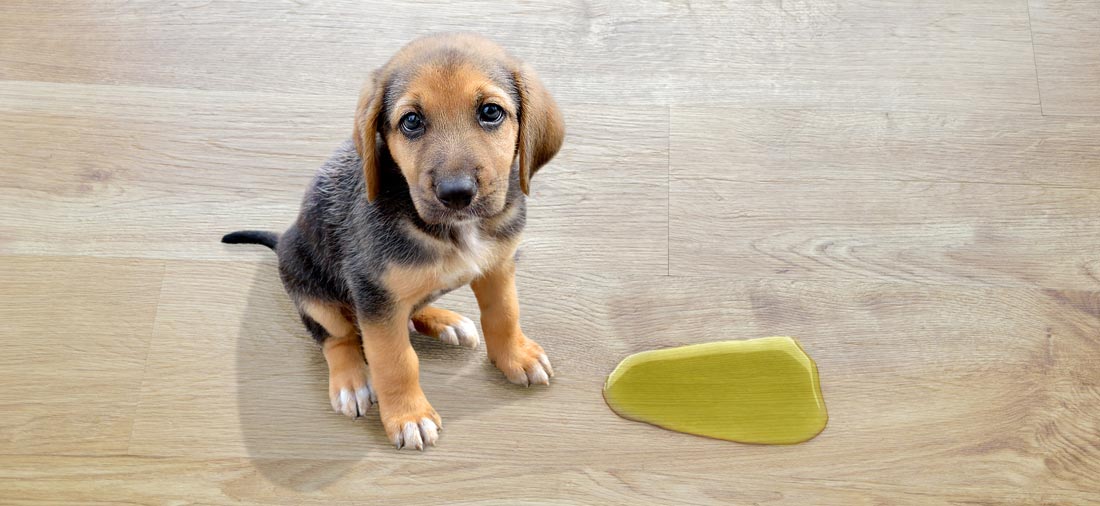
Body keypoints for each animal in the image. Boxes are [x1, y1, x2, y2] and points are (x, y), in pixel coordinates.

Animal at [223, 33, 567, 448]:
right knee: (337, 337)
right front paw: (408, 416)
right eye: (412, 121)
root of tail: (282, 238)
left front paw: (515, 356)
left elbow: (504, 314)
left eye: (490, 112)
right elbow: (395, 360)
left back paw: (445, 320)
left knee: (411, 309)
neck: (454, 230)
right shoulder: (373, 292)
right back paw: (351, 381)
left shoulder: (498, 266)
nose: (456, 194)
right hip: (311, 288)